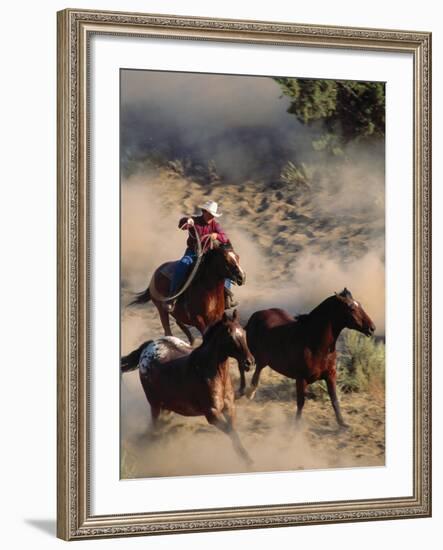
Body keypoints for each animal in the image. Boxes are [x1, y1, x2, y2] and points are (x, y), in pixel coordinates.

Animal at [119, 310, 255, 466]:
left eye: (243, 332)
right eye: (230, 336)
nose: (250, 362)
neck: (210, 372)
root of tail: (148, 347)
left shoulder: (229, 407)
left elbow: (233, 431)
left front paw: (247, 458)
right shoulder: (212, 413)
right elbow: (230, 431)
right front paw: (247, 461)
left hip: (166, 403)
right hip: (154, 403)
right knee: (155, 424)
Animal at [245, 288, 376, 432]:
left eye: (360, 304)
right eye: (351, 308)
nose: (372, 328)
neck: (314, 343)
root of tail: (256, 314)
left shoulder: (330, 375)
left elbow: (334, 400)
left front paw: (343, 423)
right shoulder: (301, 378)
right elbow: (301, 402)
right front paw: (296, 426)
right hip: (258, 357)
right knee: (254, 370)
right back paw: (249, 393)